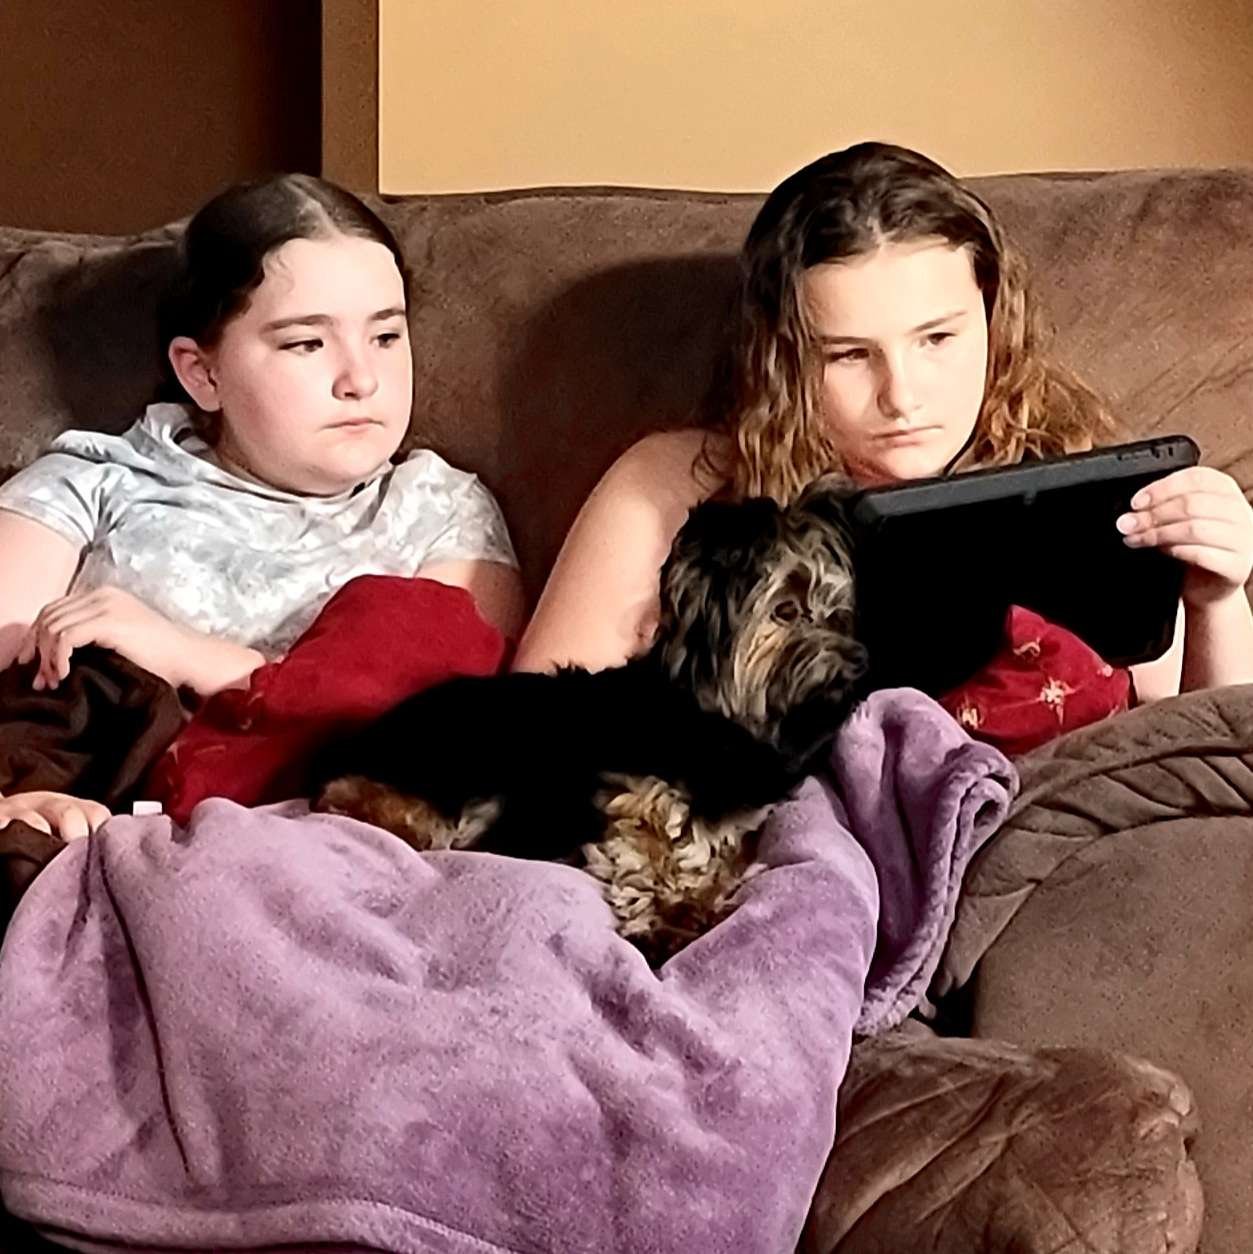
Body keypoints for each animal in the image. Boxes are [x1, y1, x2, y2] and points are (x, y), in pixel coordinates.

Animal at [311, 474, 868, 964]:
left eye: (839, 616)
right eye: (787, 610)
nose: (860, 660)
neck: (716, 729)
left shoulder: (736, 827)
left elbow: (719, 864)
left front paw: (697, 902)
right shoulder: (627, 800)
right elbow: (648, 859)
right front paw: (664, 921)